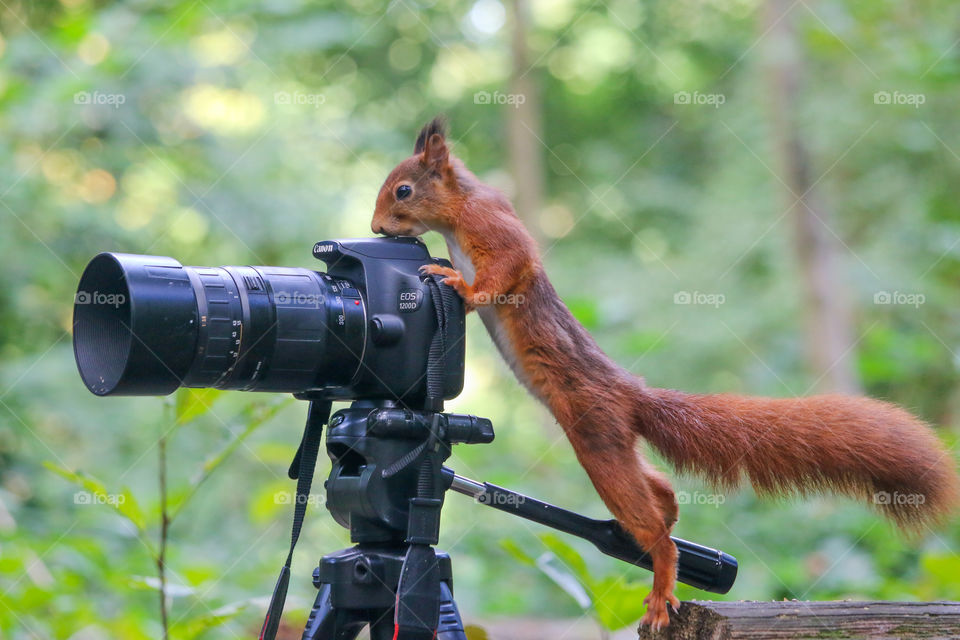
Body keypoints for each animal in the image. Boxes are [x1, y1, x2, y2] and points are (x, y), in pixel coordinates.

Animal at [370, 117, 960, 630]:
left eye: (403, 191)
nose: (376, 228)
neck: (463, 204)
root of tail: (631, 395)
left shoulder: (493, 229)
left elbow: (507, 268)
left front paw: (457, 282)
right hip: (614, 444)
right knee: (660, 487)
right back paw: (671, 514)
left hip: (598, 442)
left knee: (652, 526)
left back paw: (662, 576)